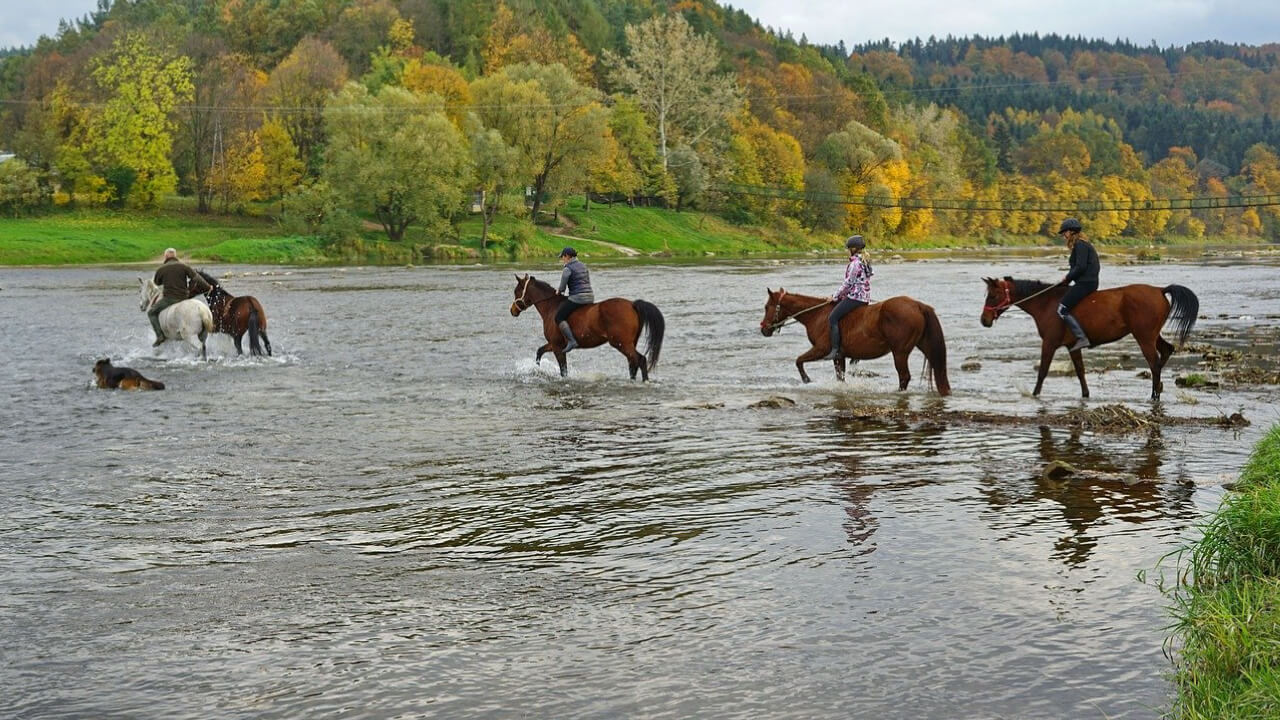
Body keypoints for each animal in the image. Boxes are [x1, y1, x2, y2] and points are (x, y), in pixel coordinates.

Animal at [510, 274, 665, 381]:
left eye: (517, 291)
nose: (512, 311)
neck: (551, 306)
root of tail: (632, 304)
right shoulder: (553, 345)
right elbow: (539, 351)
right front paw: (537, 369)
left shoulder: (557, 347)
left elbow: (563, 370)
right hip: (629, 343)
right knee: (633, 363)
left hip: (621, 343)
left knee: (640, 360)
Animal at [759, 288, 951, 395]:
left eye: (767, 307)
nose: (764, 329)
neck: (817, 315)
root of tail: (917, 305)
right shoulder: (839, 356)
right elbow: (840, 377)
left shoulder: (822, 350)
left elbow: (798, 361)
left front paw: (807, 380)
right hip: (924, 346)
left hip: (900, 353)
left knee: (904, 377)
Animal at [979, 277, 1199, 400]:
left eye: (993, 296)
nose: (984, 320)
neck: (1046, 303)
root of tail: (1160, 290)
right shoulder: (1072, 346)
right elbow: (1080, 372)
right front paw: (1085, 395)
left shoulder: (1049, 343)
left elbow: (1042, 371)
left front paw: (1034, 394)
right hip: (1152, 335)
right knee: (1166, 352)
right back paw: (1158, 388)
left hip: (1144, 338)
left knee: (1154, 364)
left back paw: (1154, 395)